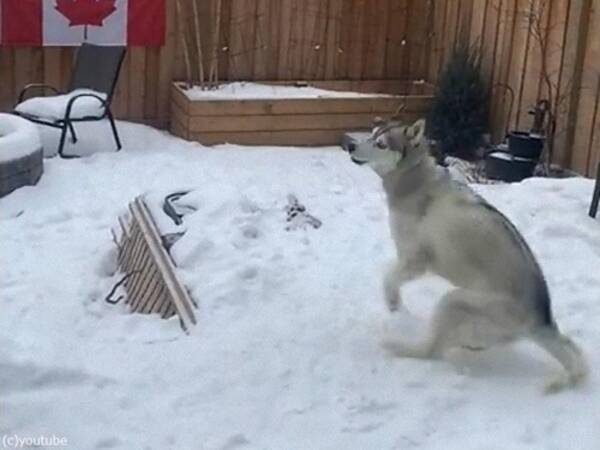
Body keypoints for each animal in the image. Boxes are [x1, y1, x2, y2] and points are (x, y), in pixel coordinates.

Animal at [346, 118, 584, 392]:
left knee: (432, 350)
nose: (350, 145)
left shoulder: (415, 260)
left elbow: (389, 278)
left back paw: (401, 346)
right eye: (372, 134)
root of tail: (541, 319)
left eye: (381, 144)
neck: (414, 177)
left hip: (454, 302)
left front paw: (394, 305)